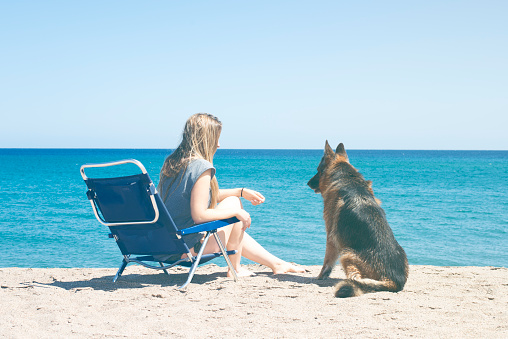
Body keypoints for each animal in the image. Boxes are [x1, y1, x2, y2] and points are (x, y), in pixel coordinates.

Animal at [306, 141, 408, 298]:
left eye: (318, 170)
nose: (308, 183)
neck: (346, 177)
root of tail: (394, 280)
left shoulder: (331, 237)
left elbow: (327, 262)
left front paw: (320, 277)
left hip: (347, 254)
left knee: (356, 279)